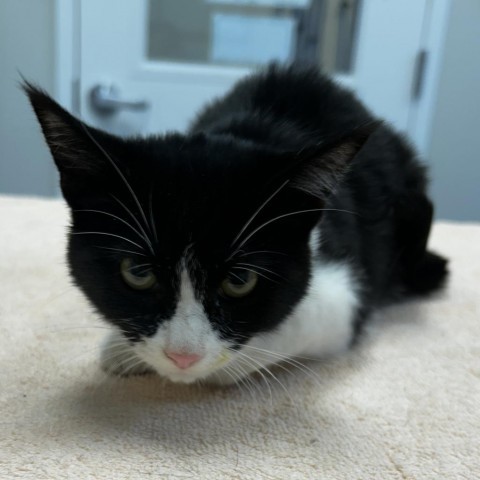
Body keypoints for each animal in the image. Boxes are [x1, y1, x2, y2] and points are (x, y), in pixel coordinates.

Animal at [24, 64, 448, 386]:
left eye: (240, 281)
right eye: (138, 272)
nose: (182, 356)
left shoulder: (348, 286)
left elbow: (304, 317)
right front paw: (122, 348)